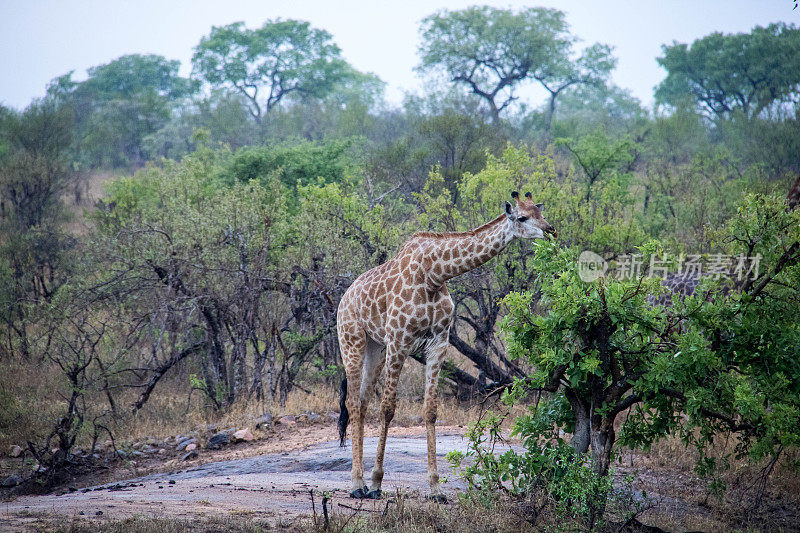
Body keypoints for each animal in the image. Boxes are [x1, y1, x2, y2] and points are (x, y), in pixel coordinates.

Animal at [334, 190, 552, 498]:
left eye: (540, 212)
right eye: (522, 217)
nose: (550, 230)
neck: (435, 274)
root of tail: (344, 297)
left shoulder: (438, 344)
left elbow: (431, 410)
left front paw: (436, 486)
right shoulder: (399, 341)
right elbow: (388, 409)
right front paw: (377, 481)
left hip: (375, 348)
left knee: (362, 403)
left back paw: (360, 481)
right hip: (351, 340)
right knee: (352, 402)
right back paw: (357, 484)